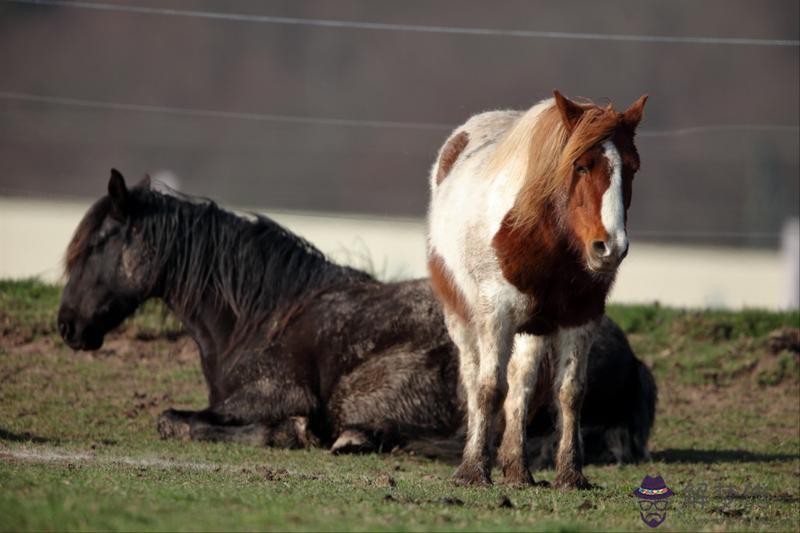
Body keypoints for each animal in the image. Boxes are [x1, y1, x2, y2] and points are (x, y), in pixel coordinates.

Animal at [57, 169, 656, 466]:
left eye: (99, 243)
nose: (67, 325)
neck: (263, 316)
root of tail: (633, 357)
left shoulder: (275, 396)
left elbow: (177, 419)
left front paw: (290, 434)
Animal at [428, 90, 648, 486]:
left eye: (632, 168)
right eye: (581, 166)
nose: (610, 248)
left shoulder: (581, 317)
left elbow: (570, 392)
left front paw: (571, 475)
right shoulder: (496, 313)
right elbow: (488, 388)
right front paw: (474, 471)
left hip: (535, 329)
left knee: (522, 385)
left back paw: (518, 469)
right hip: (462, 319)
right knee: (474, 379)